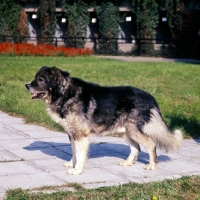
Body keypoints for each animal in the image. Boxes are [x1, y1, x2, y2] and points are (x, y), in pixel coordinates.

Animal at [25, 66, 183, 175]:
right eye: (36, 77)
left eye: (41, 80)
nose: (26, 85)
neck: (64, 93)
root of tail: (150, 97)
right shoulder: (72, 134)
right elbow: (74, 152)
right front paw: (72, 164)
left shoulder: (80, 134)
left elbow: (80, 154)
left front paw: (77, 170)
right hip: (125, 131)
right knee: (135, 147)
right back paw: (128, 163)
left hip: (134, 130)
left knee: (151, 144)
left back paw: (152, 165)